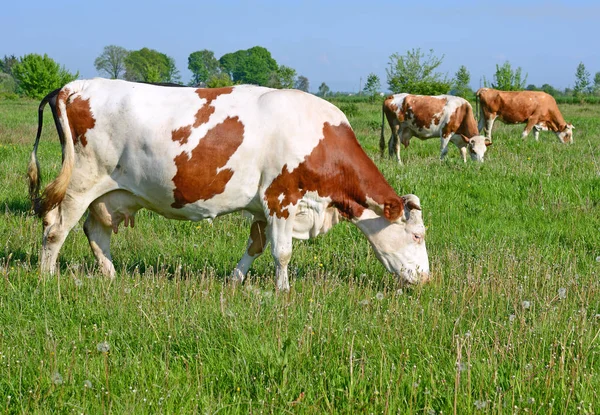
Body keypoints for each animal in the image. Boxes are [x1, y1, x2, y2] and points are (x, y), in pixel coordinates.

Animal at [29, 79, 432, 292]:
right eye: (416, 236)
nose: (426, 278)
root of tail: (73, 86)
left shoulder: (263, 205)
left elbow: (255, 245)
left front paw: (236, 280)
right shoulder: (281, 198)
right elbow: (282, 252)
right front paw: (283, 291)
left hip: (112, 193)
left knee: (96, 231)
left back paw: (112, 276)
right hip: (80, 182)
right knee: (56, 228)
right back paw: (47, 278)